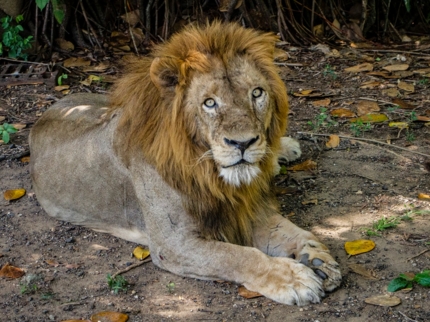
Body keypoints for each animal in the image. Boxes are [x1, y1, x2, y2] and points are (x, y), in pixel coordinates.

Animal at [29, 22, 340, 304]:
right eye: (210, 103)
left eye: (256, 93)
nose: (243, 143)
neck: (210, 174)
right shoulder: (174, 243)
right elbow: (238, 256)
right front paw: (294, 278)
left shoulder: (247, 209)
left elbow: (291, 230)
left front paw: (315, 258)